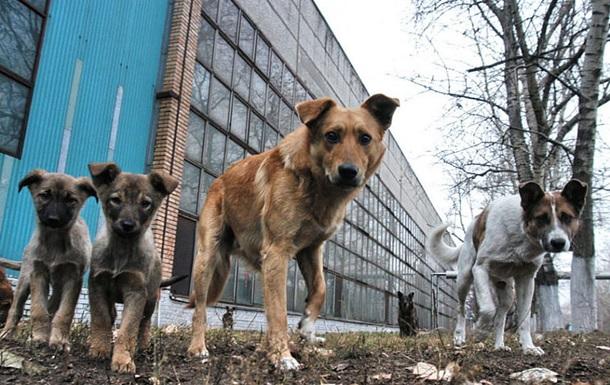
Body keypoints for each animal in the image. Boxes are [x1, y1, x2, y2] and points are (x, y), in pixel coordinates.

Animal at [0, 170, 96, 350]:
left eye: (71, 200)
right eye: (44, 195)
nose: (53, 219)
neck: (55, 242)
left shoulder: (73, 278)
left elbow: (64, 312)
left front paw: (59, 341)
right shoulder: (38, 274)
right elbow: (38, 309)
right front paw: (39, 337)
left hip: (59, 287)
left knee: (53, 305)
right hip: (25, 278)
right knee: (16, 308)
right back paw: (7, 332)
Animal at [88, 162, 178, 372]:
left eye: (145, 203)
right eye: (115, 200)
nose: (127, 224)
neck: (121, 249)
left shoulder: (136, 292)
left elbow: (128, 329)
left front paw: (123, 360)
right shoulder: (97, 284)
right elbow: (101, 318)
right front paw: (99, 348)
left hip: (151, 298)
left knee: (144, 323)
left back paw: (143, 346)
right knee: (112, 314)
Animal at [188, 94, 402, 368]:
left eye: (365, 138)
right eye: (332, 135)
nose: (348, 171)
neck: (315, 184)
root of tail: (218, 179)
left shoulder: (310, 250)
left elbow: (320, 288)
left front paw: (307, 327)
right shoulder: (277, 252)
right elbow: (279, 310)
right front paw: (282, 357)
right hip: (208, 258)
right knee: (201, 307)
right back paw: (198, 348)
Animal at [426, 180, 588, 354]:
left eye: (567, 217)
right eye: (541, 218)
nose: (558, 243)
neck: (521, 233)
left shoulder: (526, 280)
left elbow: (524, 319)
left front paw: (529, 347)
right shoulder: (480, 269)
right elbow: (488, 309)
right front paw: (480, 331)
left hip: (506, 291)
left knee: (500, 317)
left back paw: (499, 345)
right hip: (464, 278)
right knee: (461, 308)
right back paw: (459, 337)